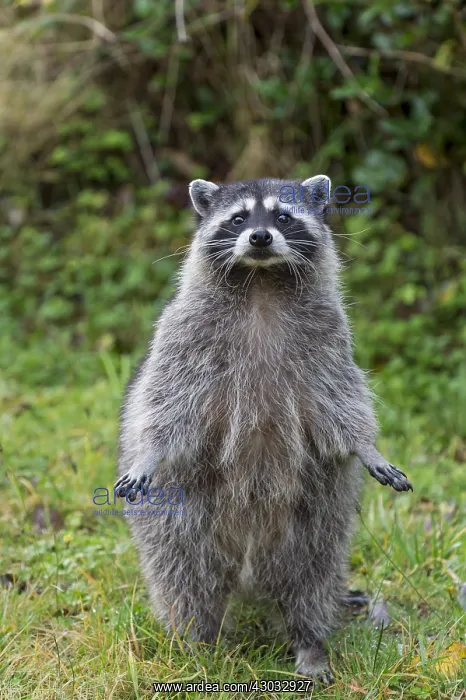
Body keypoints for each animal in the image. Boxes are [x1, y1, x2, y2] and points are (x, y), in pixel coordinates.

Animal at [115, 177, 412, 684]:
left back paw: (309, 641)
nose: (258, 237)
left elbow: (341, 403)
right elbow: (167, 402)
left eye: (282, 216)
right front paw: (150, 452)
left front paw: (367, 447)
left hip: (316, 516)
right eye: (238, 218)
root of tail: (248, 573)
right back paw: (196, 642)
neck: (261, 283)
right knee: (183, 575)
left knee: (312, 578)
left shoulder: (330, 340)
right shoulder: (182, 335)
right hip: (179, 516)